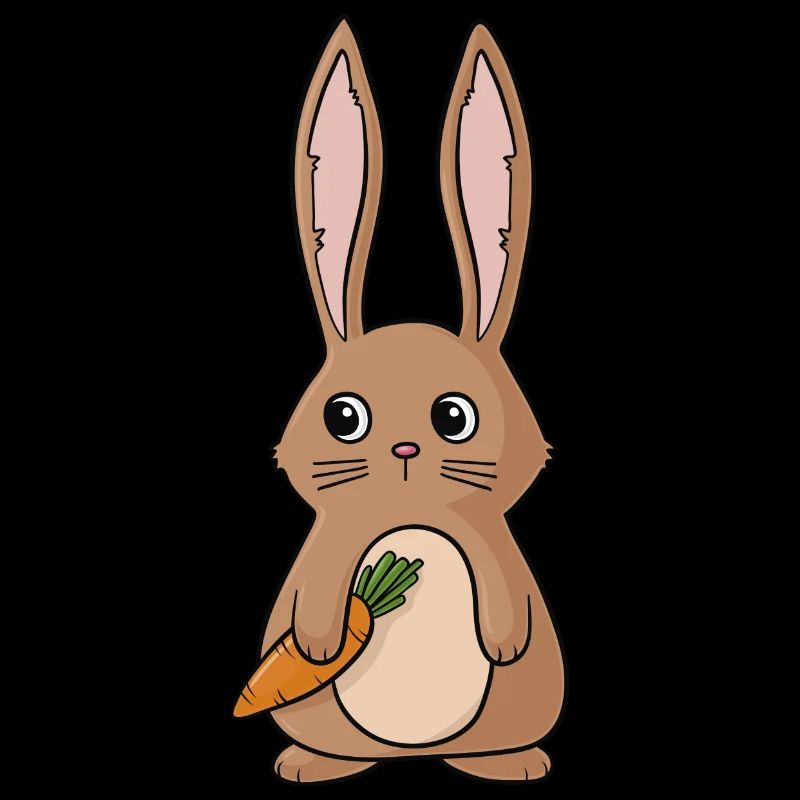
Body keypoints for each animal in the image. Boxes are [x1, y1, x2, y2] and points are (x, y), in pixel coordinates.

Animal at [255, 19, 564, 783]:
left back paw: (512, 764)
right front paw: (316, 642)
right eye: (343, 417)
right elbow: (318, 595)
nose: (404, 449)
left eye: (455, 417)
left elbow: (504, 595)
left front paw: (505, 641)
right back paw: (309, 764)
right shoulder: (331, 550)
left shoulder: (489, 545)